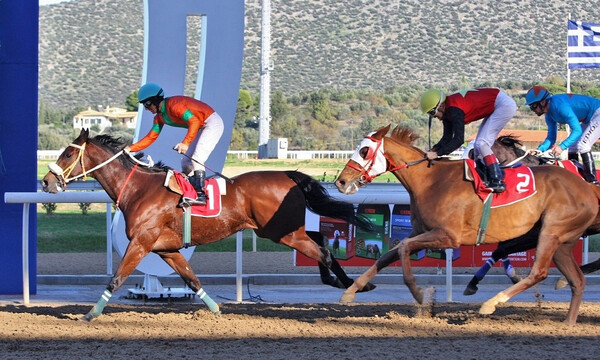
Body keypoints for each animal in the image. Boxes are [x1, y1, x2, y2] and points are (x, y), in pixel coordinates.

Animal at [39, 130, 372, 324]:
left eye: (68, 153)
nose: (46, 181)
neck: (138, 189)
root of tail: (287, 175)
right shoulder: (166, 249)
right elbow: (192, 279)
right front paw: (216, 311)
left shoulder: (141, 243)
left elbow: (116, 279)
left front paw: (89, 315)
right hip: (283, 229)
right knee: (320, 240)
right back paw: (348, 282)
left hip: (282, 232)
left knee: (322, 251)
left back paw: (350, 285)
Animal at [332, 124, 600, 324]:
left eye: (364, 151)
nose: (341, 182)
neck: (430, 181)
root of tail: (588, 189)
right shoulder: (422, 231)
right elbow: (389, 254)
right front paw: (351, 290)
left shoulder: (449, 236)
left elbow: (404, 248)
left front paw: (419, 294)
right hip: (563, 242)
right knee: (577, 280)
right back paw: (568, 322)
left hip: (550, 232)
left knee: (540, 272)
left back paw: (491, 303)